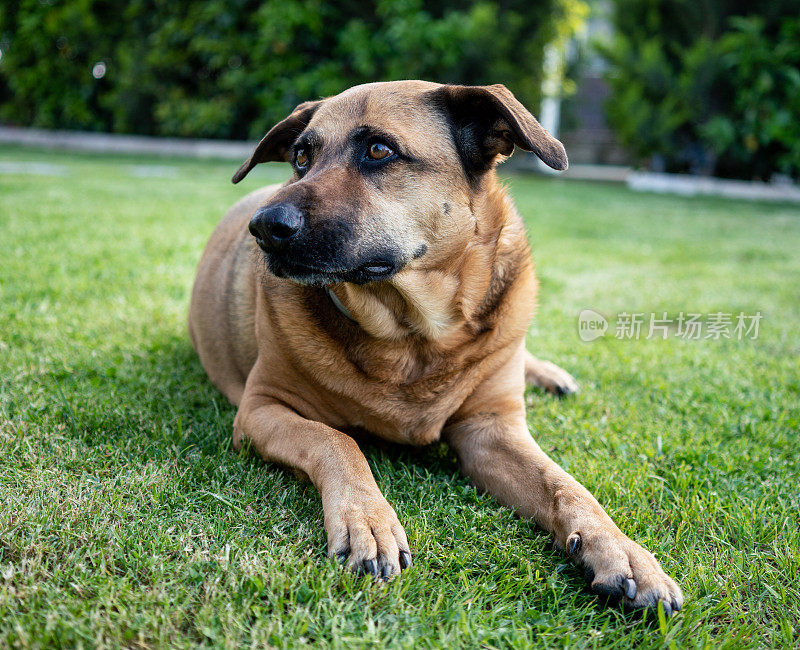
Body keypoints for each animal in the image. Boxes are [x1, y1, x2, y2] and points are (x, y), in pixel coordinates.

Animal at [188, 79, 680, 612]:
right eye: (301, 156)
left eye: (379, 150)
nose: (265, 227)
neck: (414, 336)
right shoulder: (259, 409)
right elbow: (334, 440)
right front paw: (368, 521)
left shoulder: (490, 431)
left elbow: (566, 486)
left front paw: (622, 550)